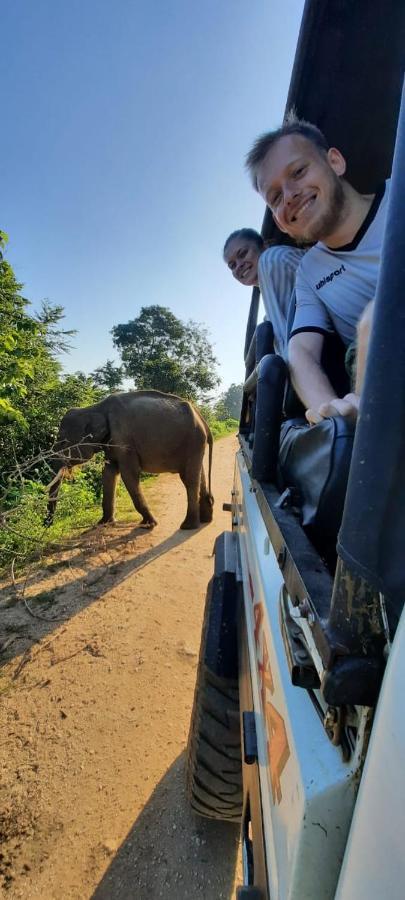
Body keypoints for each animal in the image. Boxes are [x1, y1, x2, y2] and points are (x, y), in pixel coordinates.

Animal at [45, 390, 213, 532]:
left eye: (63, 443)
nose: (48, 526)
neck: (94, 407)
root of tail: (203, 420)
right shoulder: (111, 444)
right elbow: (108, 473)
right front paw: (103, 523)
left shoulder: (124, 441)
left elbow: (128, 474)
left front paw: (150, 524)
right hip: (195, 445)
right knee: (197, 475)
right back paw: (206, 519)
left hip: (193, 441)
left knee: (189, 479)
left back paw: (188, 526)